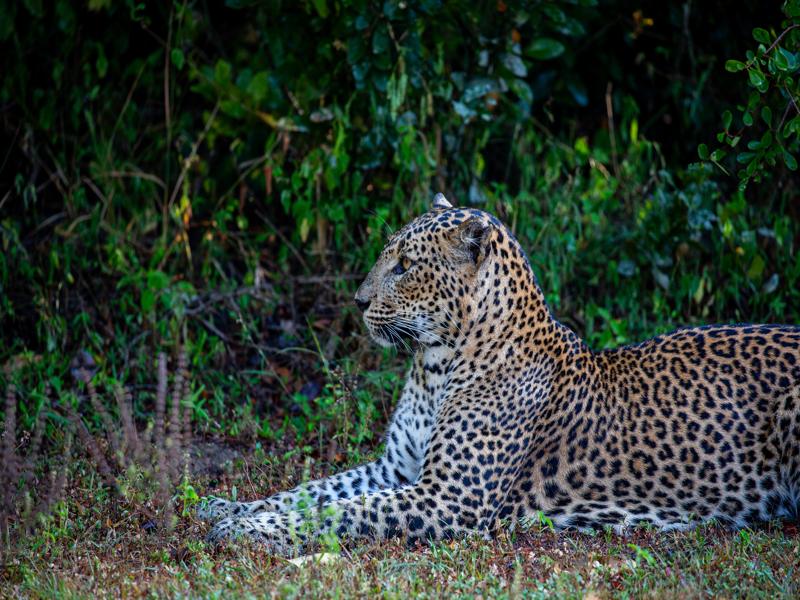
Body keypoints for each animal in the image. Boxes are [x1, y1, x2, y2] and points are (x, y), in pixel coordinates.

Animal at [198, 193, 800, 555]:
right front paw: (228, 507)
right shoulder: (397, 469)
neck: (435, 364)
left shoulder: (447, 498)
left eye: (405, 265)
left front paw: (244, 529)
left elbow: (339, 514)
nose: (359, 301)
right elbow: (310, 492)